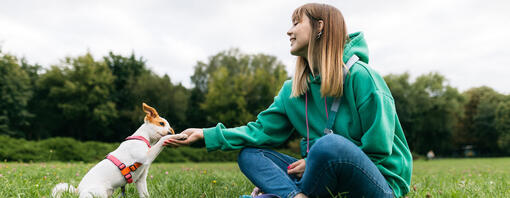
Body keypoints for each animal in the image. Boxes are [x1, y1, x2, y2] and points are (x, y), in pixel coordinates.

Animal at [52, 103, 187, 197]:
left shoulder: (140, 180)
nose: (170, 131)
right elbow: (162, 140)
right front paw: (179, 136)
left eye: (169, 127)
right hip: (99, 193)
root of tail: (77, 191)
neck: (142, 139)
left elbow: (145, 195)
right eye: (161, 123)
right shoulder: (146, 157)